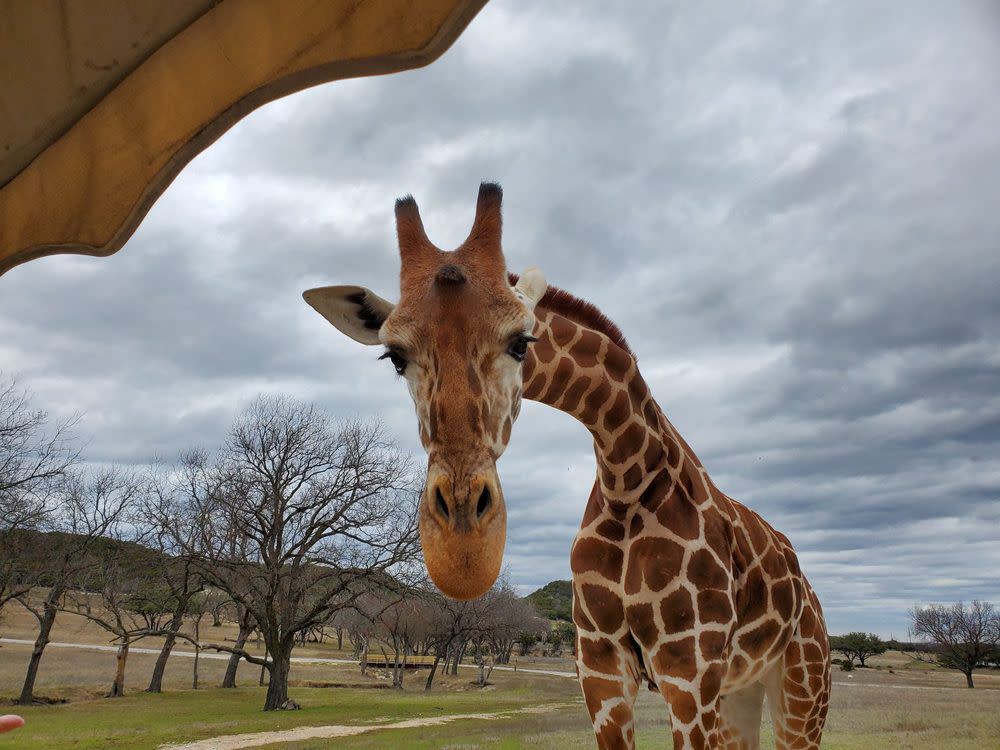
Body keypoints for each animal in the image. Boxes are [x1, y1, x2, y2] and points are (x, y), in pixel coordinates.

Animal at [302, 184, 828, 750]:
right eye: (394, 357)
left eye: (521, 341)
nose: (463, 550)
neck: (627, 478)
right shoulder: (599, 668)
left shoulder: (689, 672)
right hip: (740, 693)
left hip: (802, 687)